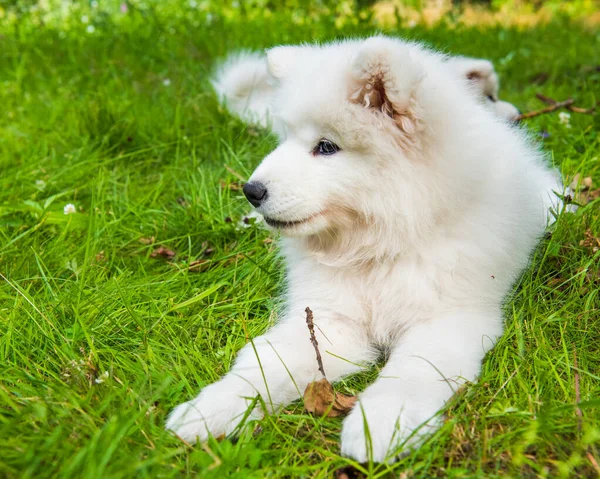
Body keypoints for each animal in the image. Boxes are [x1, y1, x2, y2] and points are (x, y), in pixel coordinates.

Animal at [168, 35, 564, 464]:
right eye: (285, 137)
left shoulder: (447, 318)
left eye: (326, 146)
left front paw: (382, 423)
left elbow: (412, 371)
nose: (251, 191)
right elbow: (265, 363)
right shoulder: (329, 320)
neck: (376, 246)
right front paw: (211, 409)